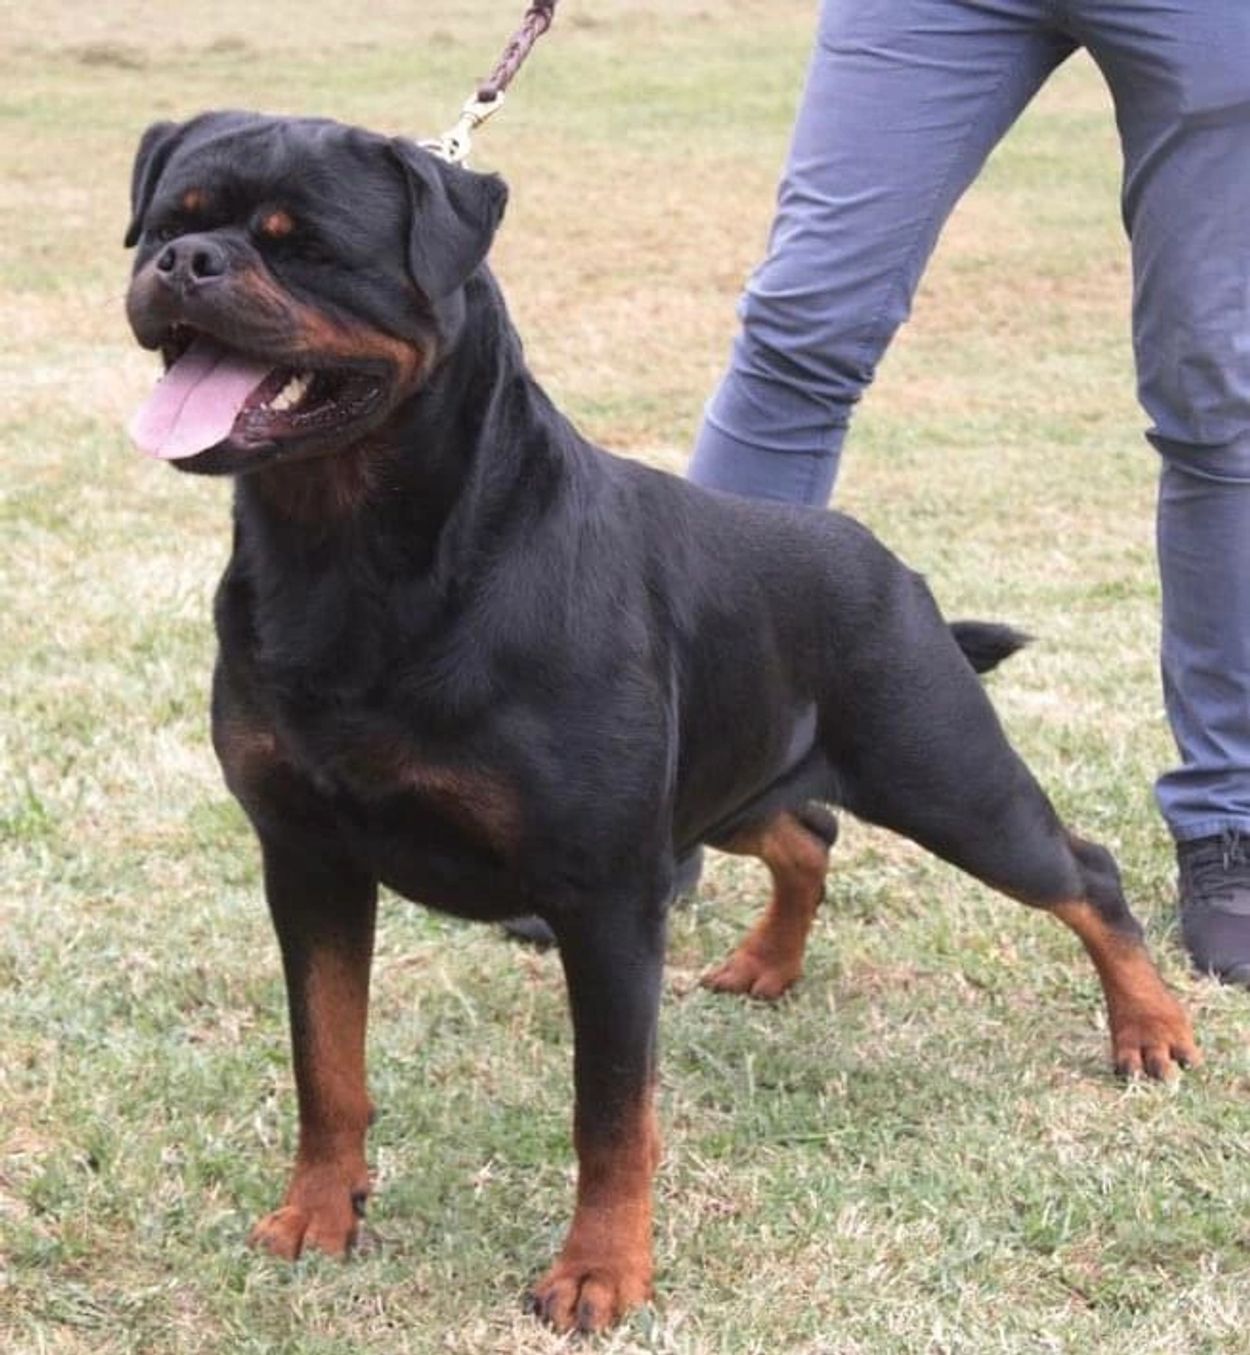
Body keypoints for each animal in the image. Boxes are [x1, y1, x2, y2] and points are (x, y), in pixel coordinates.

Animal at [123, 110, 1199, 1334]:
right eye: (164, 223)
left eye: (299, 245)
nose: (184, 262)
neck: (350, 549)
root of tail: (887, 562)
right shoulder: (306, 856)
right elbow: (326, 1059)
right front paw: (319, 1210)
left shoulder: (603, 893)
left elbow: (609, 1109)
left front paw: (600, 1269)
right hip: (733, 782)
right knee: (809, 832)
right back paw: (769, 963)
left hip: (946, 779)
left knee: (1081, 869)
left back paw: (1151, 1030)